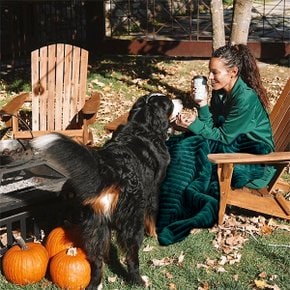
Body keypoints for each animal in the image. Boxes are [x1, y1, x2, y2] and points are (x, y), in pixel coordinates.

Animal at [32, 93, 172, 288]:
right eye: (169, 103)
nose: (178, 102)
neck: (142, 127)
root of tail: (110, 167)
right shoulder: (154, 189)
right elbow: (152, 215)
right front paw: (154, 235)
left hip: (95, 224)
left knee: (97, 261)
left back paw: (96, 282)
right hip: (131, 221)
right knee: (131, 257)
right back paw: (138, 280)